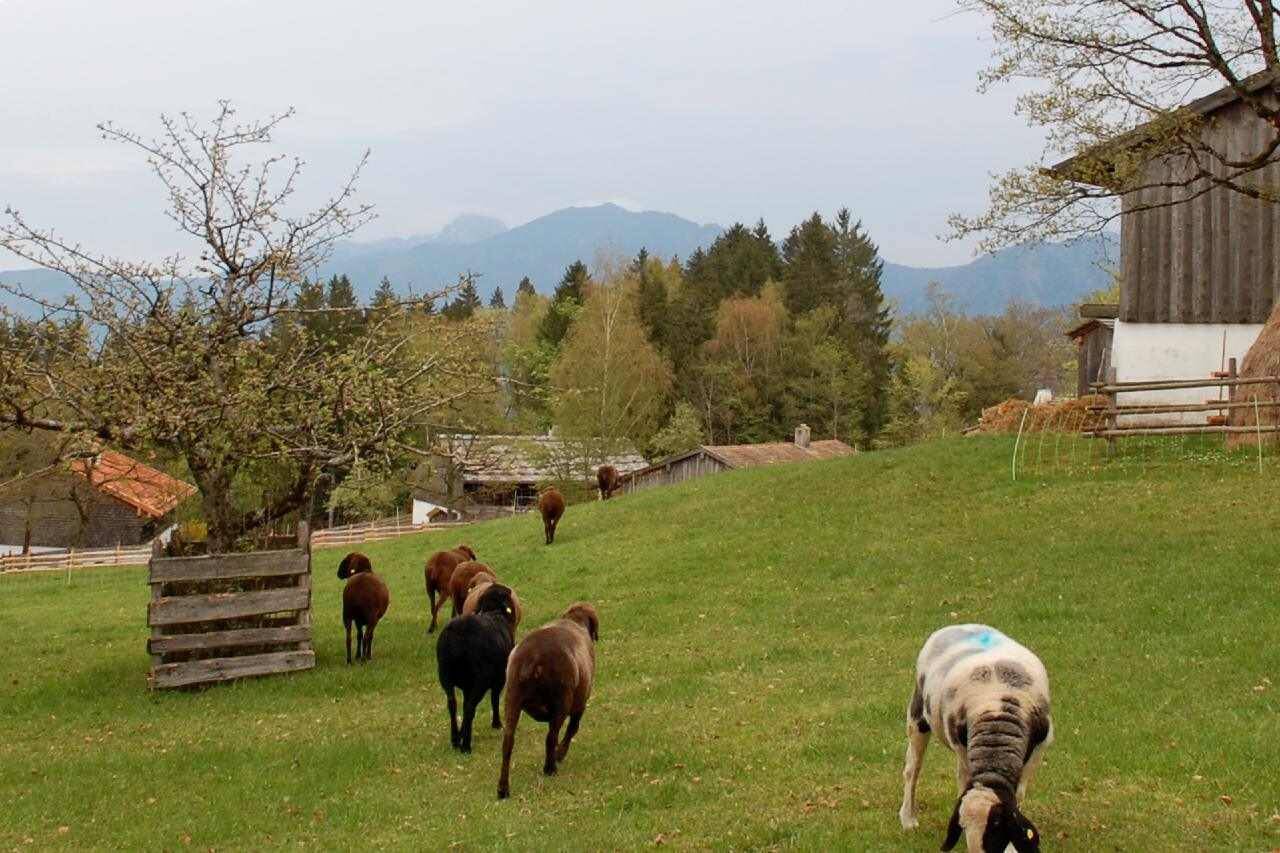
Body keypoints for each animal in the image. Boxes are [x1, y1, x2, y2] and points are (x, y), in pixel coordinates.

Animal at [499, 601, 599, 794]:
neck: (575, 622)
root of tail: (533, 657)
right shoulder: (580, 703)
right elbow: (572, 729)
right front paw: (560, 754)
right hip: (561, 702)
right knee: (551, 737)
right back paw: (550, 768)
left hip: (512, 699)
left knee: (508, 742)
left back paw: (503, 789)